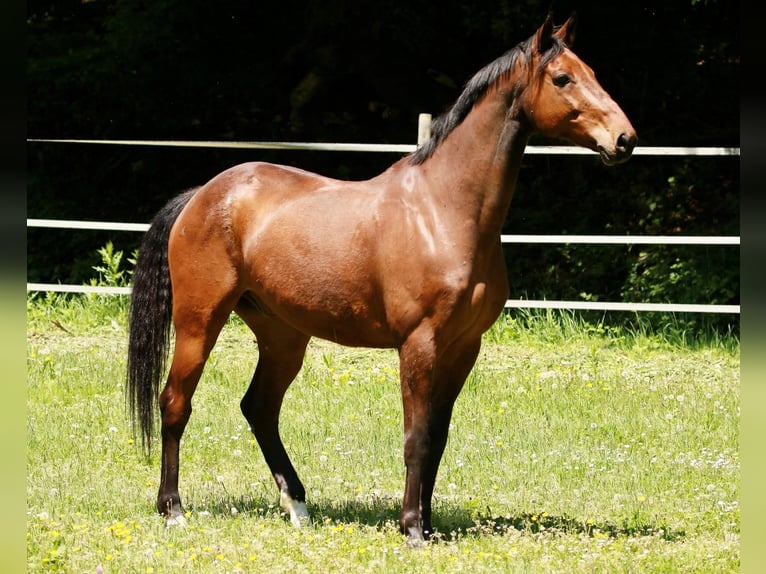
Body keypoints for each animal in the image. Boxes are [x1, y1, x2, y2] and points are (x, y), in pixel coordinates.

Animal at [126, 13, 636, 543]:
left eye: (591, 72)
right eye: (562, 78)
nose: (625, 139)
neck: (443, 209)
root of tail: (201, 195)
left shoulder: (463, 347)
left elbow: (437, 436)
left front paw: (427, 523)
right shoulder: (419, 344)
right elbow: (416, 437)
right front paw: (411, 528)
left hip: (283, 334)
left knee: (259, 408)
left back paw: (298, 506)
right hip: (199, 321)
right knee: (175, 403)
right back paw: (173, 509)